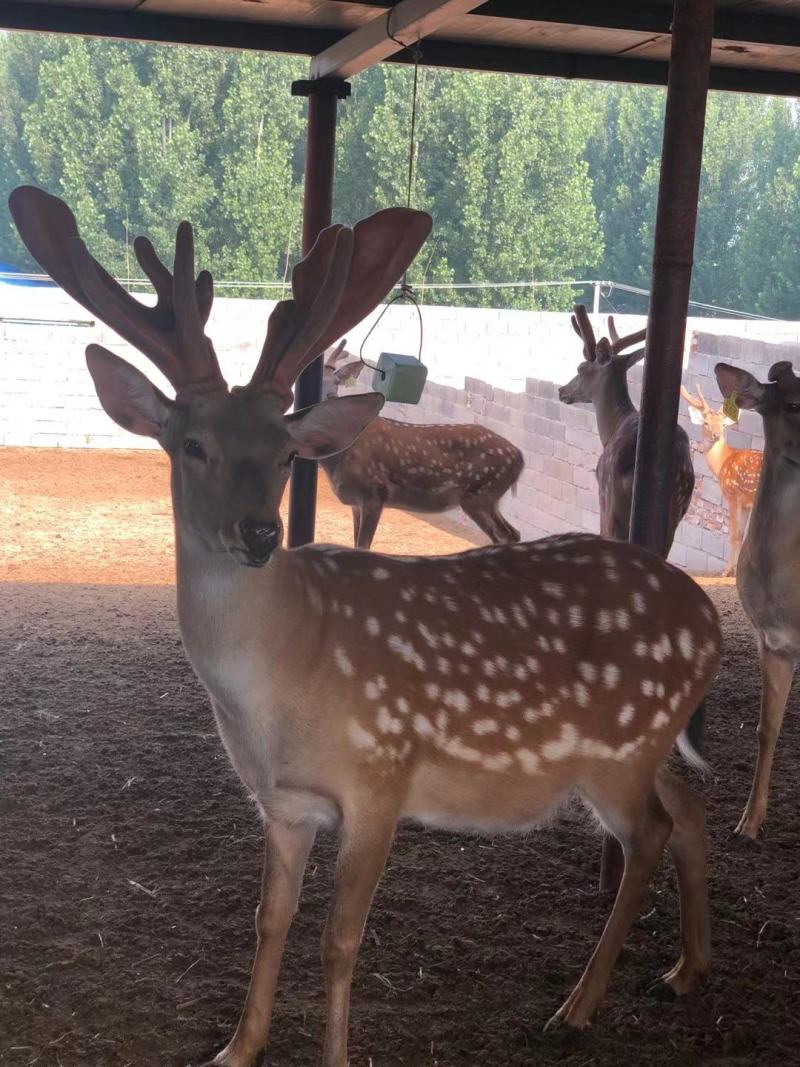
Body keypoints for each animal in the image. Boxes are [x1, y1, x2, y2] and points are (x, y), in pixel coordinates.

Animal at [318, 340, 524, 548]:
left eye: (336, 383)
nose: (330, 398)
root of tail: (519, 456)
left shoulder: (374, 492)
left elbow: (363, 545)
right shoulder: (355, 503)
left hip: (480, 493)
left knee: (505, 534)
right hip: (487, 497)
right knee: (513, 533)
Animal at [681, 382, 762, 576]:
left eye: (723, 424)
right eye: (706, 422)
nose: (716, 435)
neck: (724, 462)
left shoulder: (733, 495)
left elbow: (733, 534)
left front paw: (727, 571)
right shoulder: (746, 503)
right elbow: (741, 535)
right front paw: (736, 571)